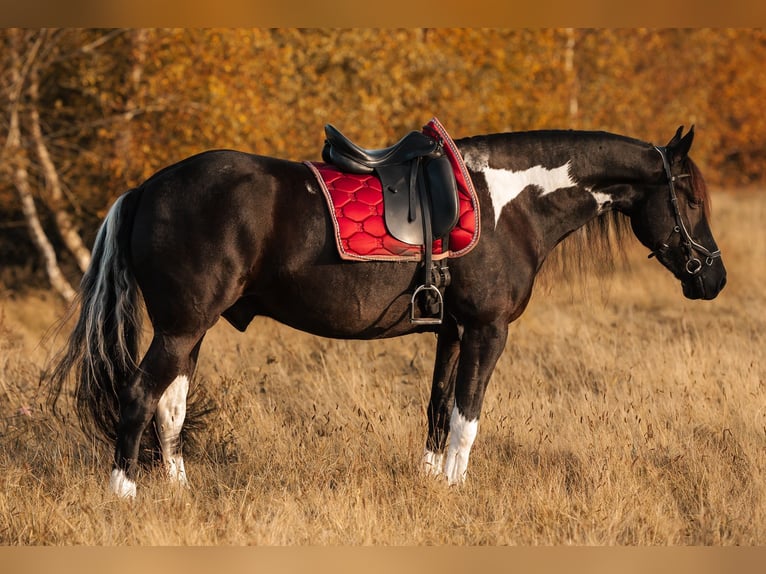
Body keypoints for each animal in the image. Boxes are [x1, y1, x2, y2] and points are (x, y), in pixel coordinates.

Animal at [45, 122, 728, 500]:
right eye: (691, 197)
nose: (714, 279)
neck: (508, 206)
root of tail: (146, 189)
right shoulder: (487, 331)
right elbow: (469, 415)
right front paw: (456, 489)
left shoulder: (452, 329)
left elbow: (438, 409)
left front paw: (432, 483)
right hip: (181, 327)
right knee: (139, 397)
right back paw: (125, 494)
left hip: (189, 332)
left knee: (171, 408)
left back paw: (181, 493)